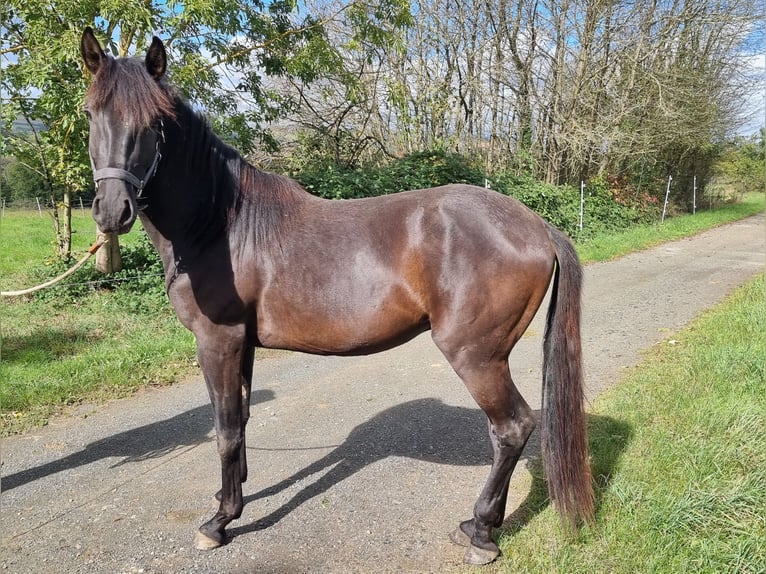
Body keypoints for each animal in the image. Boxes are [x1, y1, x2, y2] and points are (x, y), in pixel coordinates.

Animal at [79, 28, 592, 568]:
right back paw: (478, 525)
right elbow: (241, 420)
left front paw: (220, 522)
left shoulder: (217, 342)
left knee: (512, 428)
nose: (112, 211)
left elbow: (225, 430)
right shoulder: (243, 346)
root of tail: (536, 225)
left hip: (477, 356)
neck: (222, 225)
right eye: (90, 113)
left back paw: (481, 532)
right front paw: (230, 497)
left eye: (155, 123)